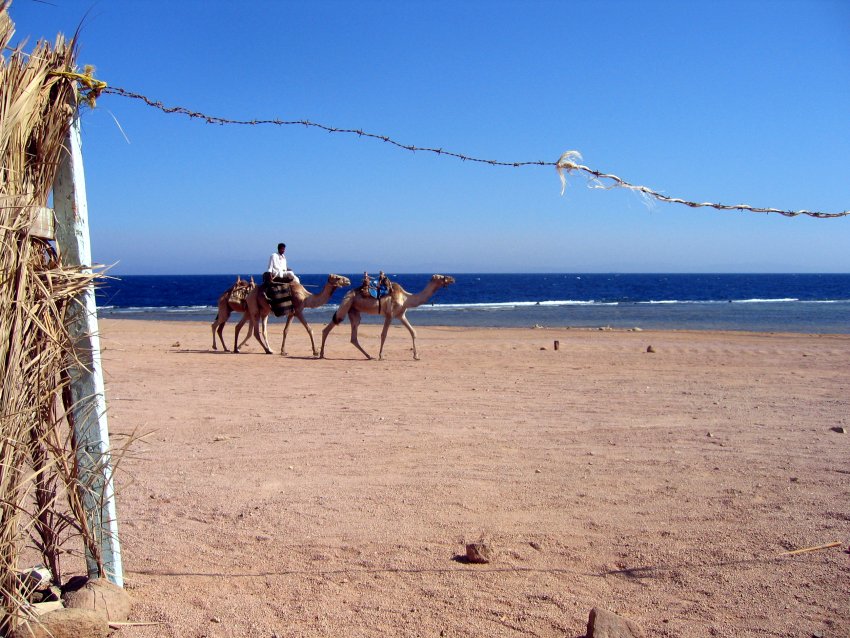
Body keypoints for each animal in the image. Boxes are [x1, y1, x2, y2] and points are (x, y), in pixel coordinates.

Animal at [318, 274, 454, 362]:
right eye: (442, 277)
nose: (452, 279)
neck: (406, 298)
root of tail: (347, 293)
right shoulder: (390, 314)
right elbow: (384, 335)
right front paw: (381, 356)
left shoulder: (401, 315)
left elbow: (413, 332)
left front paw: (416, 356)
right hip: (346, 304)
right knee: (330, 326)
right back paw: (321, 354)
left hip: (354, 311)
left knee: (353, 337)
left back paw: (369, 356)